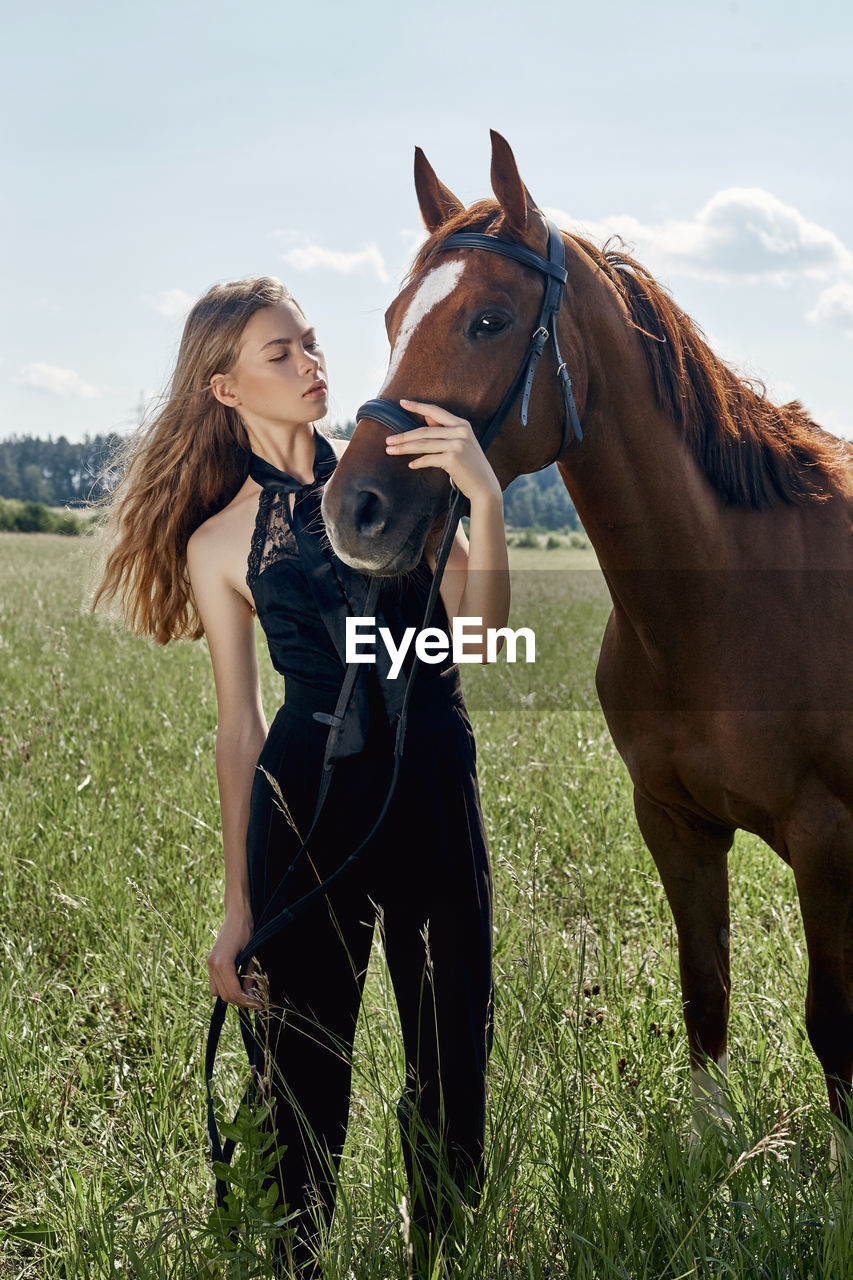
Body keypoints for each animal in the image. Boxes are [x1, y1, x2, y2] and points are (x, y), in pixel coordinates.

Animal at [318, 135, 850, 1167]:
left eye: (487, 320)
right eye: (397, 317)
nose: (353, 507)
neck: (728, 594)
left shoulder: (826, 838)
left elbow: (834, 1026)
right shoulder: (674, 822)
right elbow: (704, 992)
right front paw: (706, 1157)